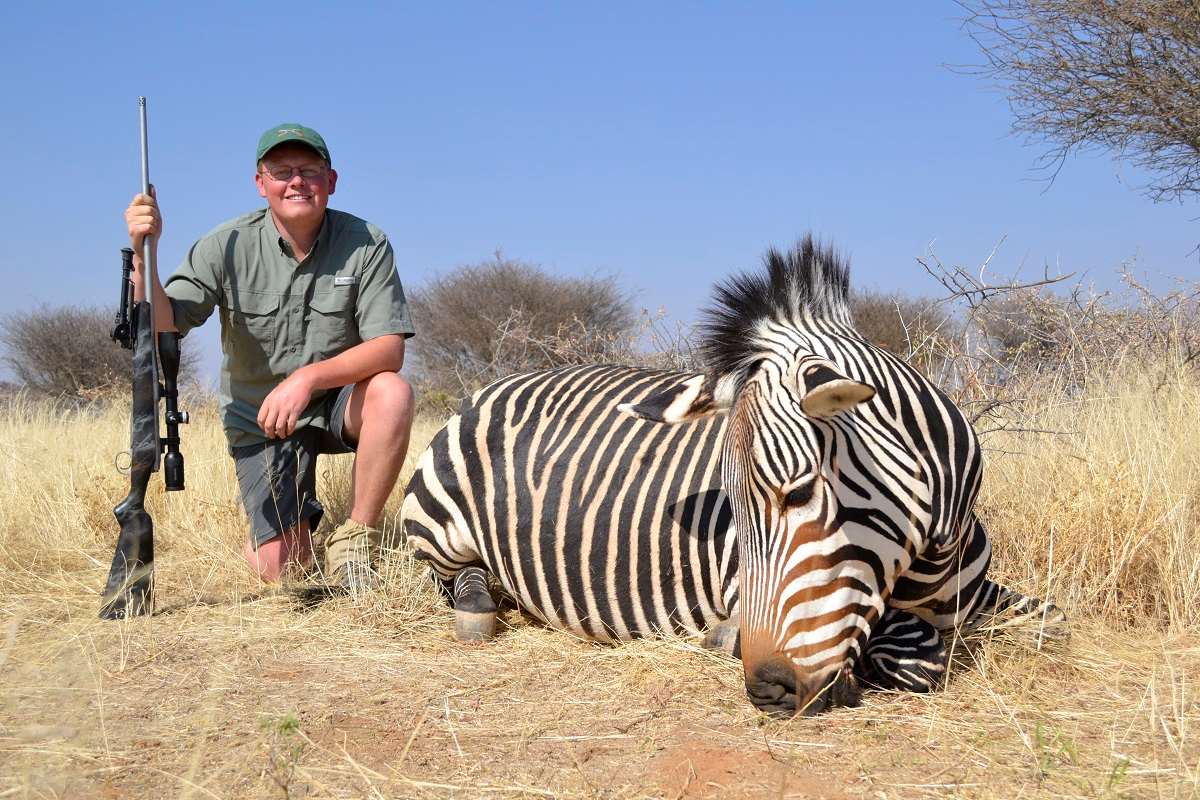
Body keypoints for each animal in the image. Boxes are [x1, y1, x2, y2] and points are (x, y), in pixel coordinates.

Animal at [401, 235, 1068, 717]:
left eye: (799, 493)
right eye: (732, 514)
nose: (767, 690)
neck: (931, 559)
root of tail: (497, 383)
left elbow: (1052, 620)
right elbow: (915, 656)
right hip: (436, 523)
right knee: (456, 578)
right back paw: (476, 607)